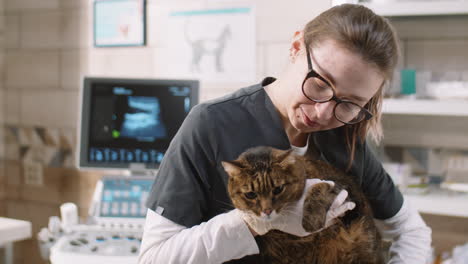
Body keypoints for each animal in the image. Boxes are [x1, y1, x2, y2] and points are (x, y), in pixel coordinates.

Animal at [222, 146, 384, 264]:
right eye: (251, 194)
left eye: (278, 189)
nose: (267, 210)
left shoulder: (344, 191)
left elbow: (319, 186)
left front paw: (310, 222)